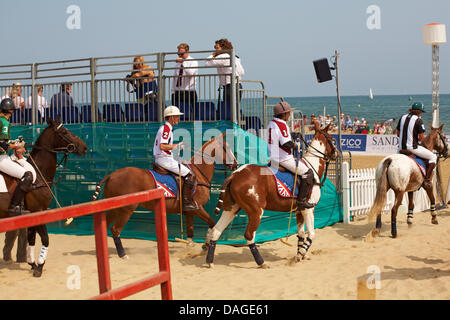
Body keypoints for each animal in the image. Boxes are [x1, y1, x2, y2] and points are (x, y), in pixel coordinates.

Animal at [0, 117, 88, 276]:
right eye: (64, 131)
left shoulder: (31, 215)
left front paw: (32, 264)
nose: (84, 147)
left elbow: (31, 240)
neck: (39, 173)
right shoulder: (39, 211)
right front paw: (40, 265)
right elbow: (45, 239)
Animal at [91, 133, 239, 260]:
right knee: (115, 229)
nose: (236, 164)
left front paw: (192, 248)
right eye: (227, 147)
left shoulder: (189, 212)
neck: (199, 173)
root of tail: (111, 175)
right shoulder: (197, 208)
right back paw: (123, 255)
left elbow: (190, 235)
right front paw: (205, 245)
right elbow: (212, 223)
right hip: (126, 209)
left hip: (114, 208)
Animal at [206, 121, 336, 268]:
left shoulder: (299, 210)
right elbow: (312, 234)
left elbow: (301, 234)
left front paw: (301, 254)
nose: (336, 154)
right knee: (249, 235)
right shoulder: (309, 208)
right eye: (332, 139)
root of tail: (234, 175)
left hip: (231, 209)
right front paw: (301, 254)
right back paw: (261, 263)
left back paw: (210, 262)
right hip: (256, 211)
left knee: (216, 230)